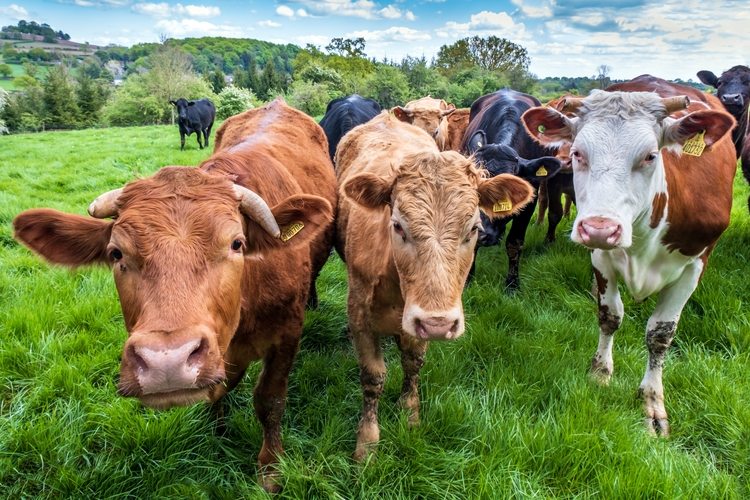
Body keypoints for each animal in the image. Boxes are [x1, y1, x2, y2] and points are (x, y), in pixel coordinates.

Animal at [13, 98, 337, 492]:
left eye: (237, 244)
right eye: (116, 253)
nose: (166, 362)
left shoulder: (287, 334)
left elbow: (269, 400)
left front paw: (271, 469)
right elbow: (222, 387)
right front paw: (216, 427)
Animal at [334, 111, 534, 462]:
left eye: (473, 228)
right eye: (398, 225)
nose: (438, 324)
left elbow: (413, 363)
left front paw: (409, 414)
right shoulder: (358, 312)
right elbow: (373, 376)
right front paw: (367, 444)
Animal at [522, 75, 735, 436]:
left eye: (650, 156)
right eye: (578, 152)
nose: (599, 228)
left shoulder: (695, 264)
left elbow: (660, 335)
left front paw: (652, 403)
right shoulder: (601, 257)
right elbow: (610, 316)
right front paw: (600, 374)